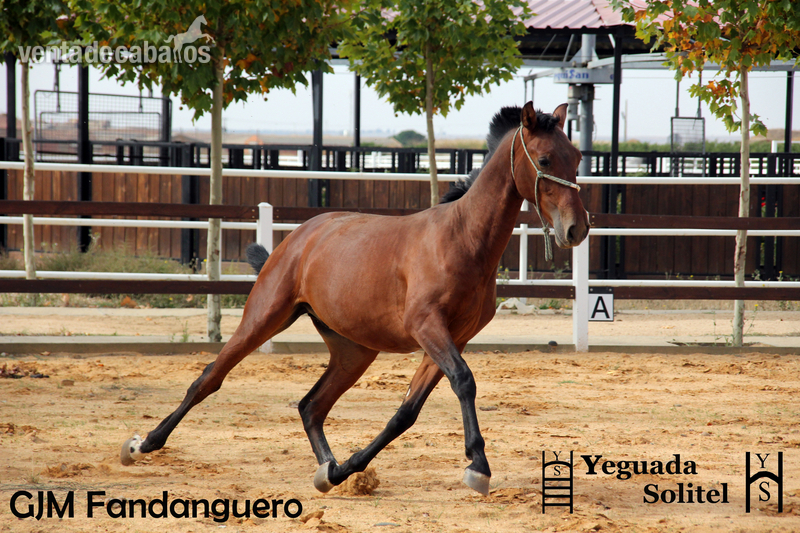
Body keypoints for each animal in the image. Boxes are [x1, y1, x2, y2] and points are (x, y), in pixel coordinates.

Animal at [120, 102, 589, 496]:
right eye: (544, 160)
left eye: (578, 157)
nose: (576, 229)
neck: (462, 240)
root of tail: (302, 236)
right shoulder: (428, 328)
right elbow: (464, 381)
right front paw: (478, 467)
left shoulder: (453, 337)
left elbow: (406, 412)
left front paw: (346, 468)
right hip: (265, 315)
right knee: (209, 377)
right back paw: (142, 444)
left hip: (353, 350)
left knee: (311, 405)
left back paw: (327, 469)